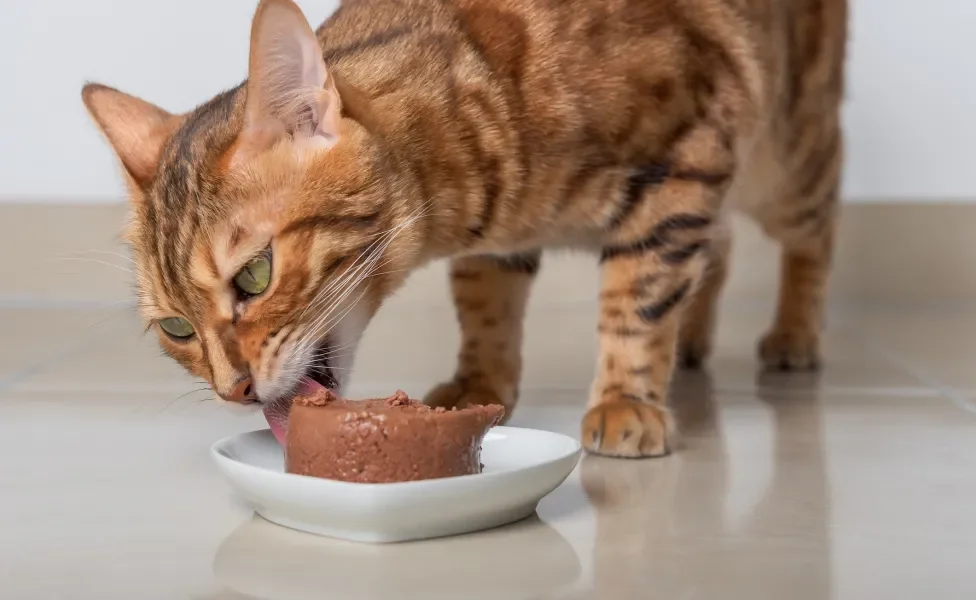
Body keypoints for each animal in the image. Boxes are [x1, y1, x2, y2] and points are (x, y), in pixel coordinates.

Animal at [82, 0, 848, 458]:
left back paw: (795, 334)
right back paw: (694, 339)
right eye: (176, 329)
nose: (233, 390)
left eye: (255, 275)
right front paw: (481, 381)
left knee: (814, 225)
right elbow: (484, 308)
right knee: (718, 247)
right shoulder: (498, 246)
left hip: (783, 154)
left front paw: (626, 397)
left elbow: (637, 301)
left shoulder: (681, 165)